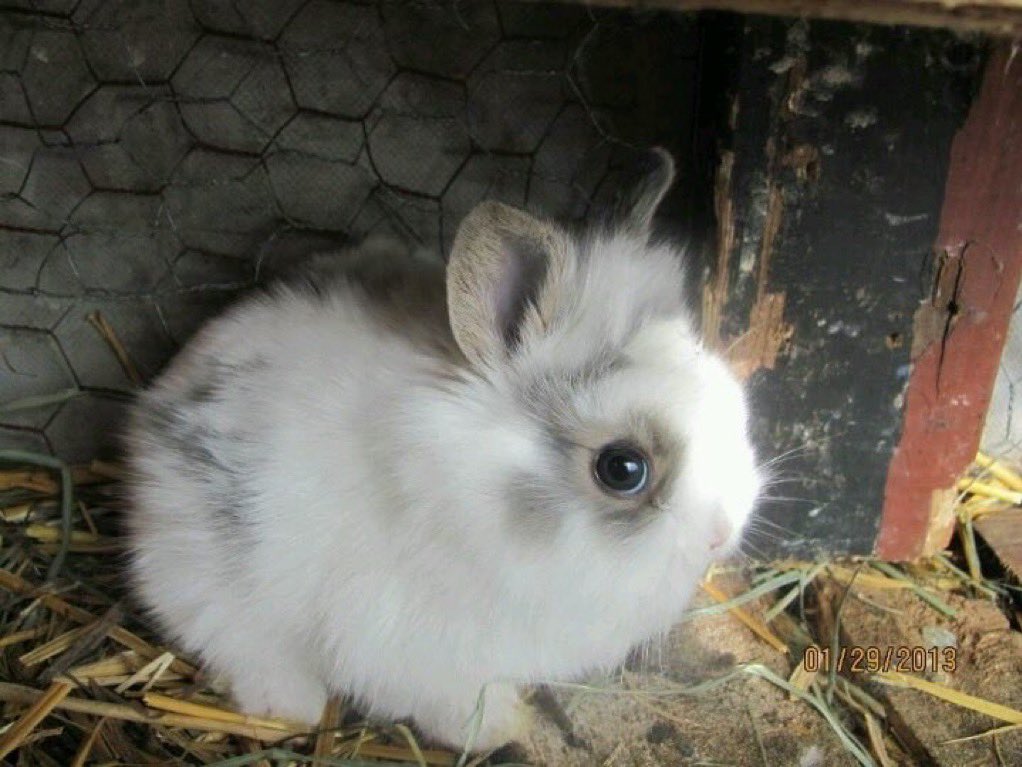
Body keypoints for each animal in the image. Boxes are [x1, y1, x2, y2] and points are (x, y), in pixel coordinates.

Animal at [124, 148, 761, 751]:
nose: (721, 534)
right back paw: (290, 705)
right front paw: (503, 728)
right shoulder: (414, 646)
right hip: (208, 578)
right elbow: (458, 701)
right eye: (622, 469)